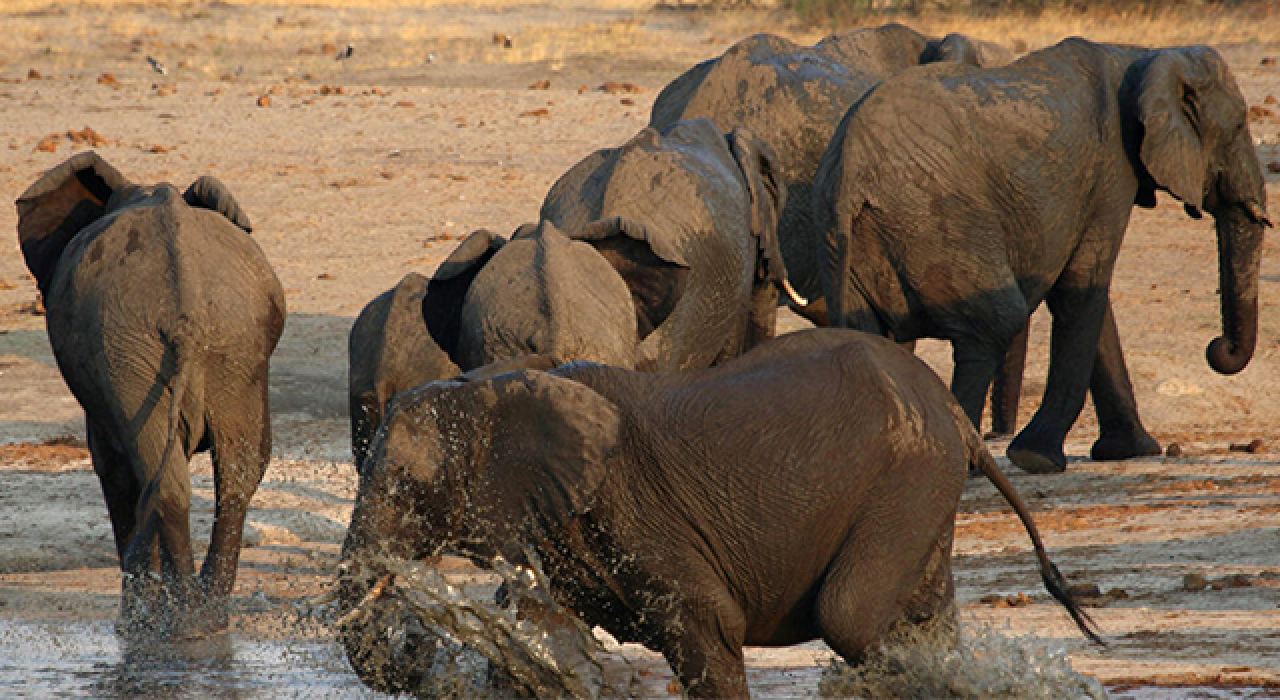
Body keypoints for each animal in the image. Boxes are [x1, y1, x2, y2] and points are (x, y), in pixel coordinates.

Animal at [15, 153, 286, 639]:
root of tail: (186, 307)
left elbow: (112, 467)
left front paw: (137, 620)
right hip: (233, 346)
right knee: (237, 473)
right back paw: (206, 618)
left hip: (129, 351)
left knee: (164, 479)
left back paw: (174, 621)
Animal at [335, 330, 1095, 700]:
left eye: (405, 486)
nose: (416, 643)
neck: (500, 384)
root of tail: (958, 417)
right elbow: (532, 643)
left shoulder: (636, 509)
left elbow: (708, 626)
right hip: (922, 487)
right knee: (924, 612)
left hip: (906, 477)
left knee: (849, 616)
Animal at [808, 39, 1269, 476]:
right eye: (1239, 126)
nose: (1218, 348)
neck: (1143, 55)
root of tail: (850, 171)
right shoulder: (1110, 170)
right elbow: (1082, 289)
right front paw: (1037, 459)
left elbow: (1089, 297)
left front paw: (1132, 451)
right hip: (937, 219)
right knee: (993, 325)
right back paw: (966, 462)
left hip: (851, 238)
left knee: (875, 336)